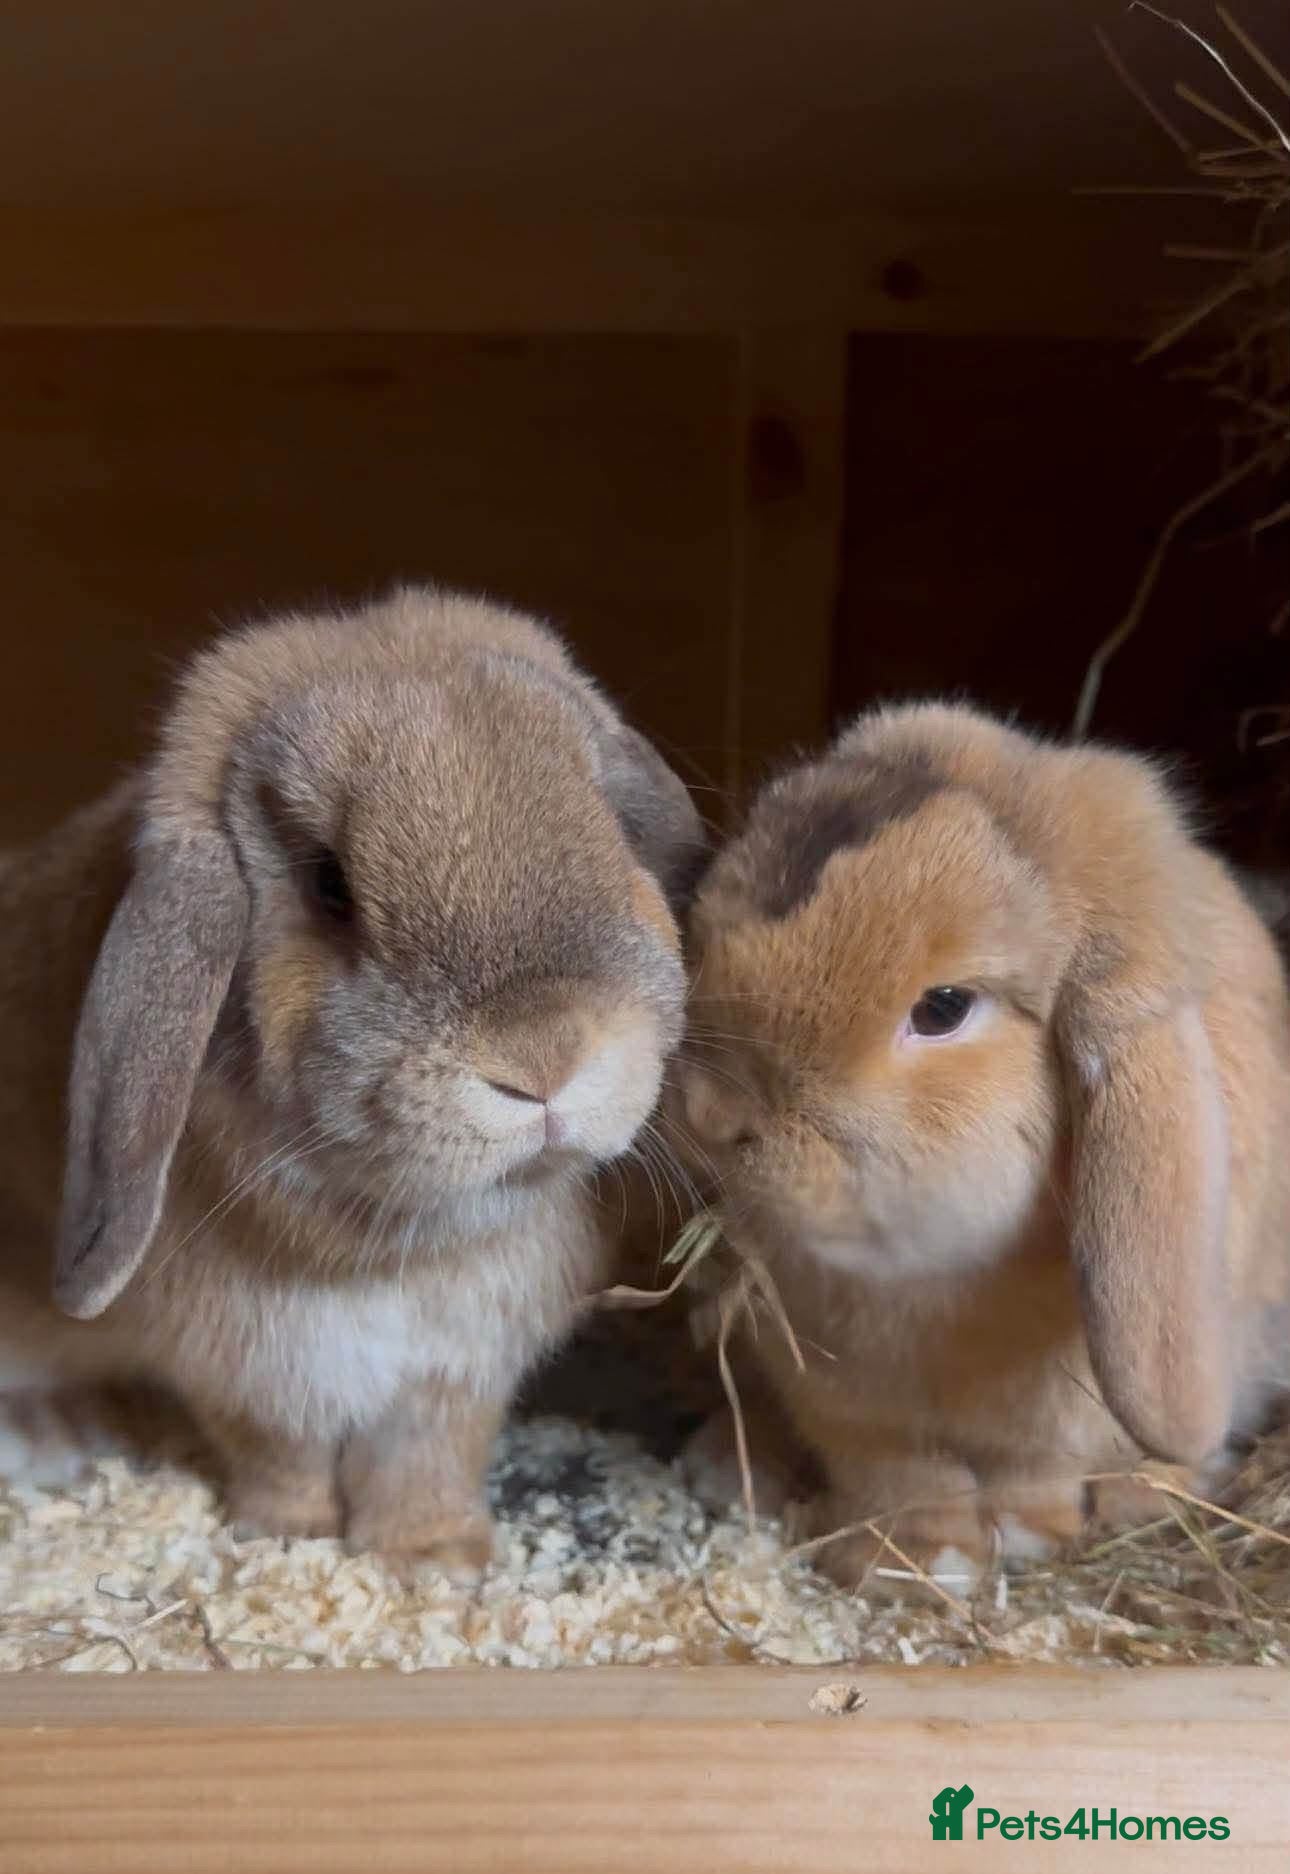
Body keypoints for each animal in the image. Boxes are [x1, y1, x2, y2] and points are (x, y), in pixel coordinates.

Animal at [0, 584, 703, 1571]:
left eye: (607, 822)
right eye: (327, 883)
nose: (545, 1058)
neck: (403, 1244)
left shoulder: (457, 1368)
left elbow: (427, 1456)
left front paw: (435, 1556)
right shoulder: (246, 1369)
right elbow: (281, 1454)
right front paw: (287, 1536)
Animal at [671, 700, 1290, 1586]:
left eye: (944, 1009)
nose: (709, 1111)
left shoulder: (1057, 1425)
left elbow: (1035, 1475)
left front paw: (1024, 1535)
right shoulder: (851, 1410)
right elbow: (899, 1477)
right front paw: (916, 1558)